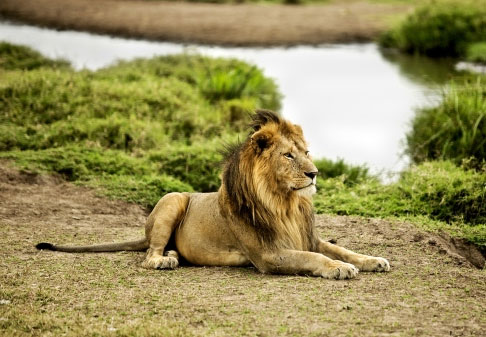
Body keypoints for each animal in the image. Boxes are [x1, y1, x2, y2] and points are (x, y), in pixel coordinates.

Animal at [39, 109, 392, 278]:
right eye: (289, 156)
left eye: (306, 152)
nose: (314, 173)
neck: (285, 204)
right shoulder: (269, 255)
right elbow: (315, 258)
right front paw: (340, 269)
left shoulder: (308, 237)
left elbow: (343, 249)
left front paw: (373, 260)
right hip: (173, 199)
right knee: (148, 256)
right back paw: (165, 260)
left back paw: (173, 254)